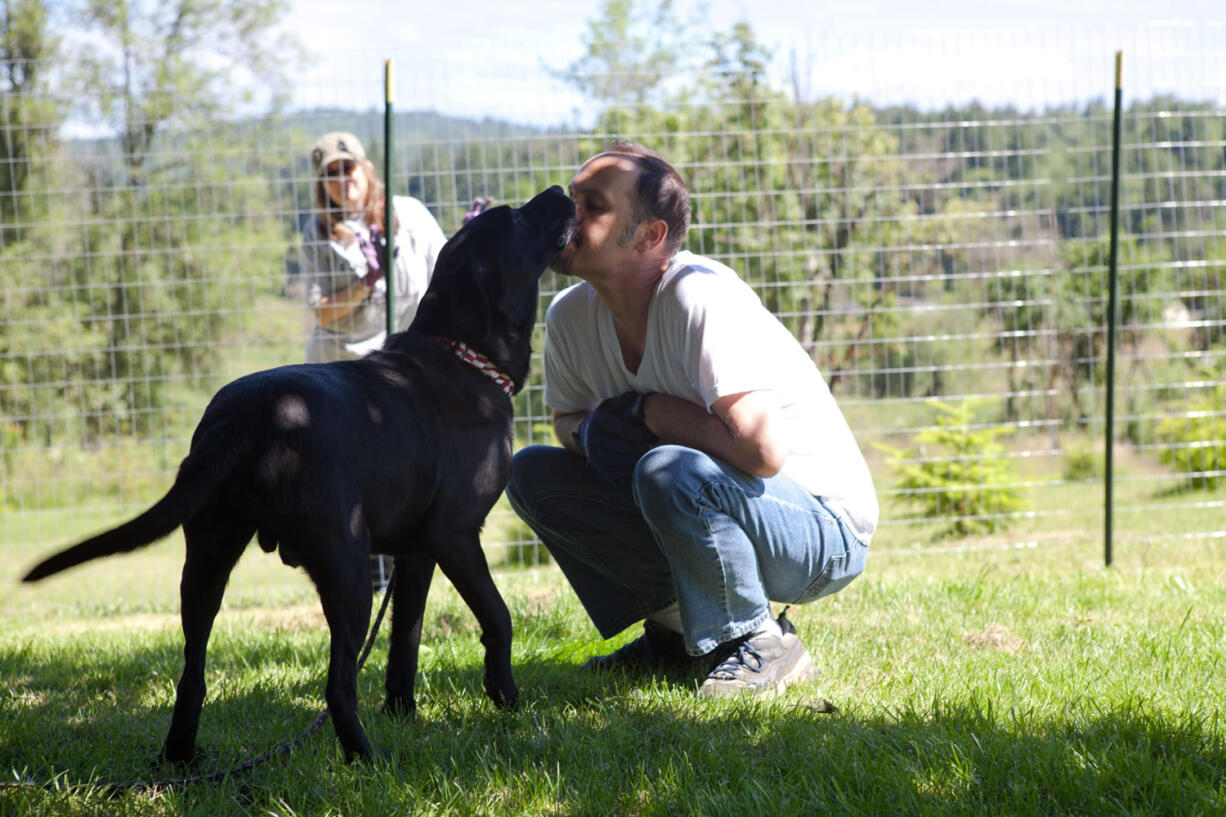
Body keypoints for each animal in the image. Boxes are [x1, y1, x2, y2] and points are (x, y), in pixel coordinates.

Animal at [20, 182, 573, 755]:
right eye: (514, 217)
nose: (559, 189)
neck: (464, 355)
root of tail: (244, 418)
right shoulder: (455, 534)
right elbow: (498, 616)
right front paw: (506, 696)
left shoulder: (417, 552)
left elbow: (406, 638)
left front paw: (404, 712)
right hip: (348, 567)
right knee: (336, 686)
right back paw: (367, 758)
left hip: (208, 560)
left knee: (192, 674)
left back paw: (180, 759)